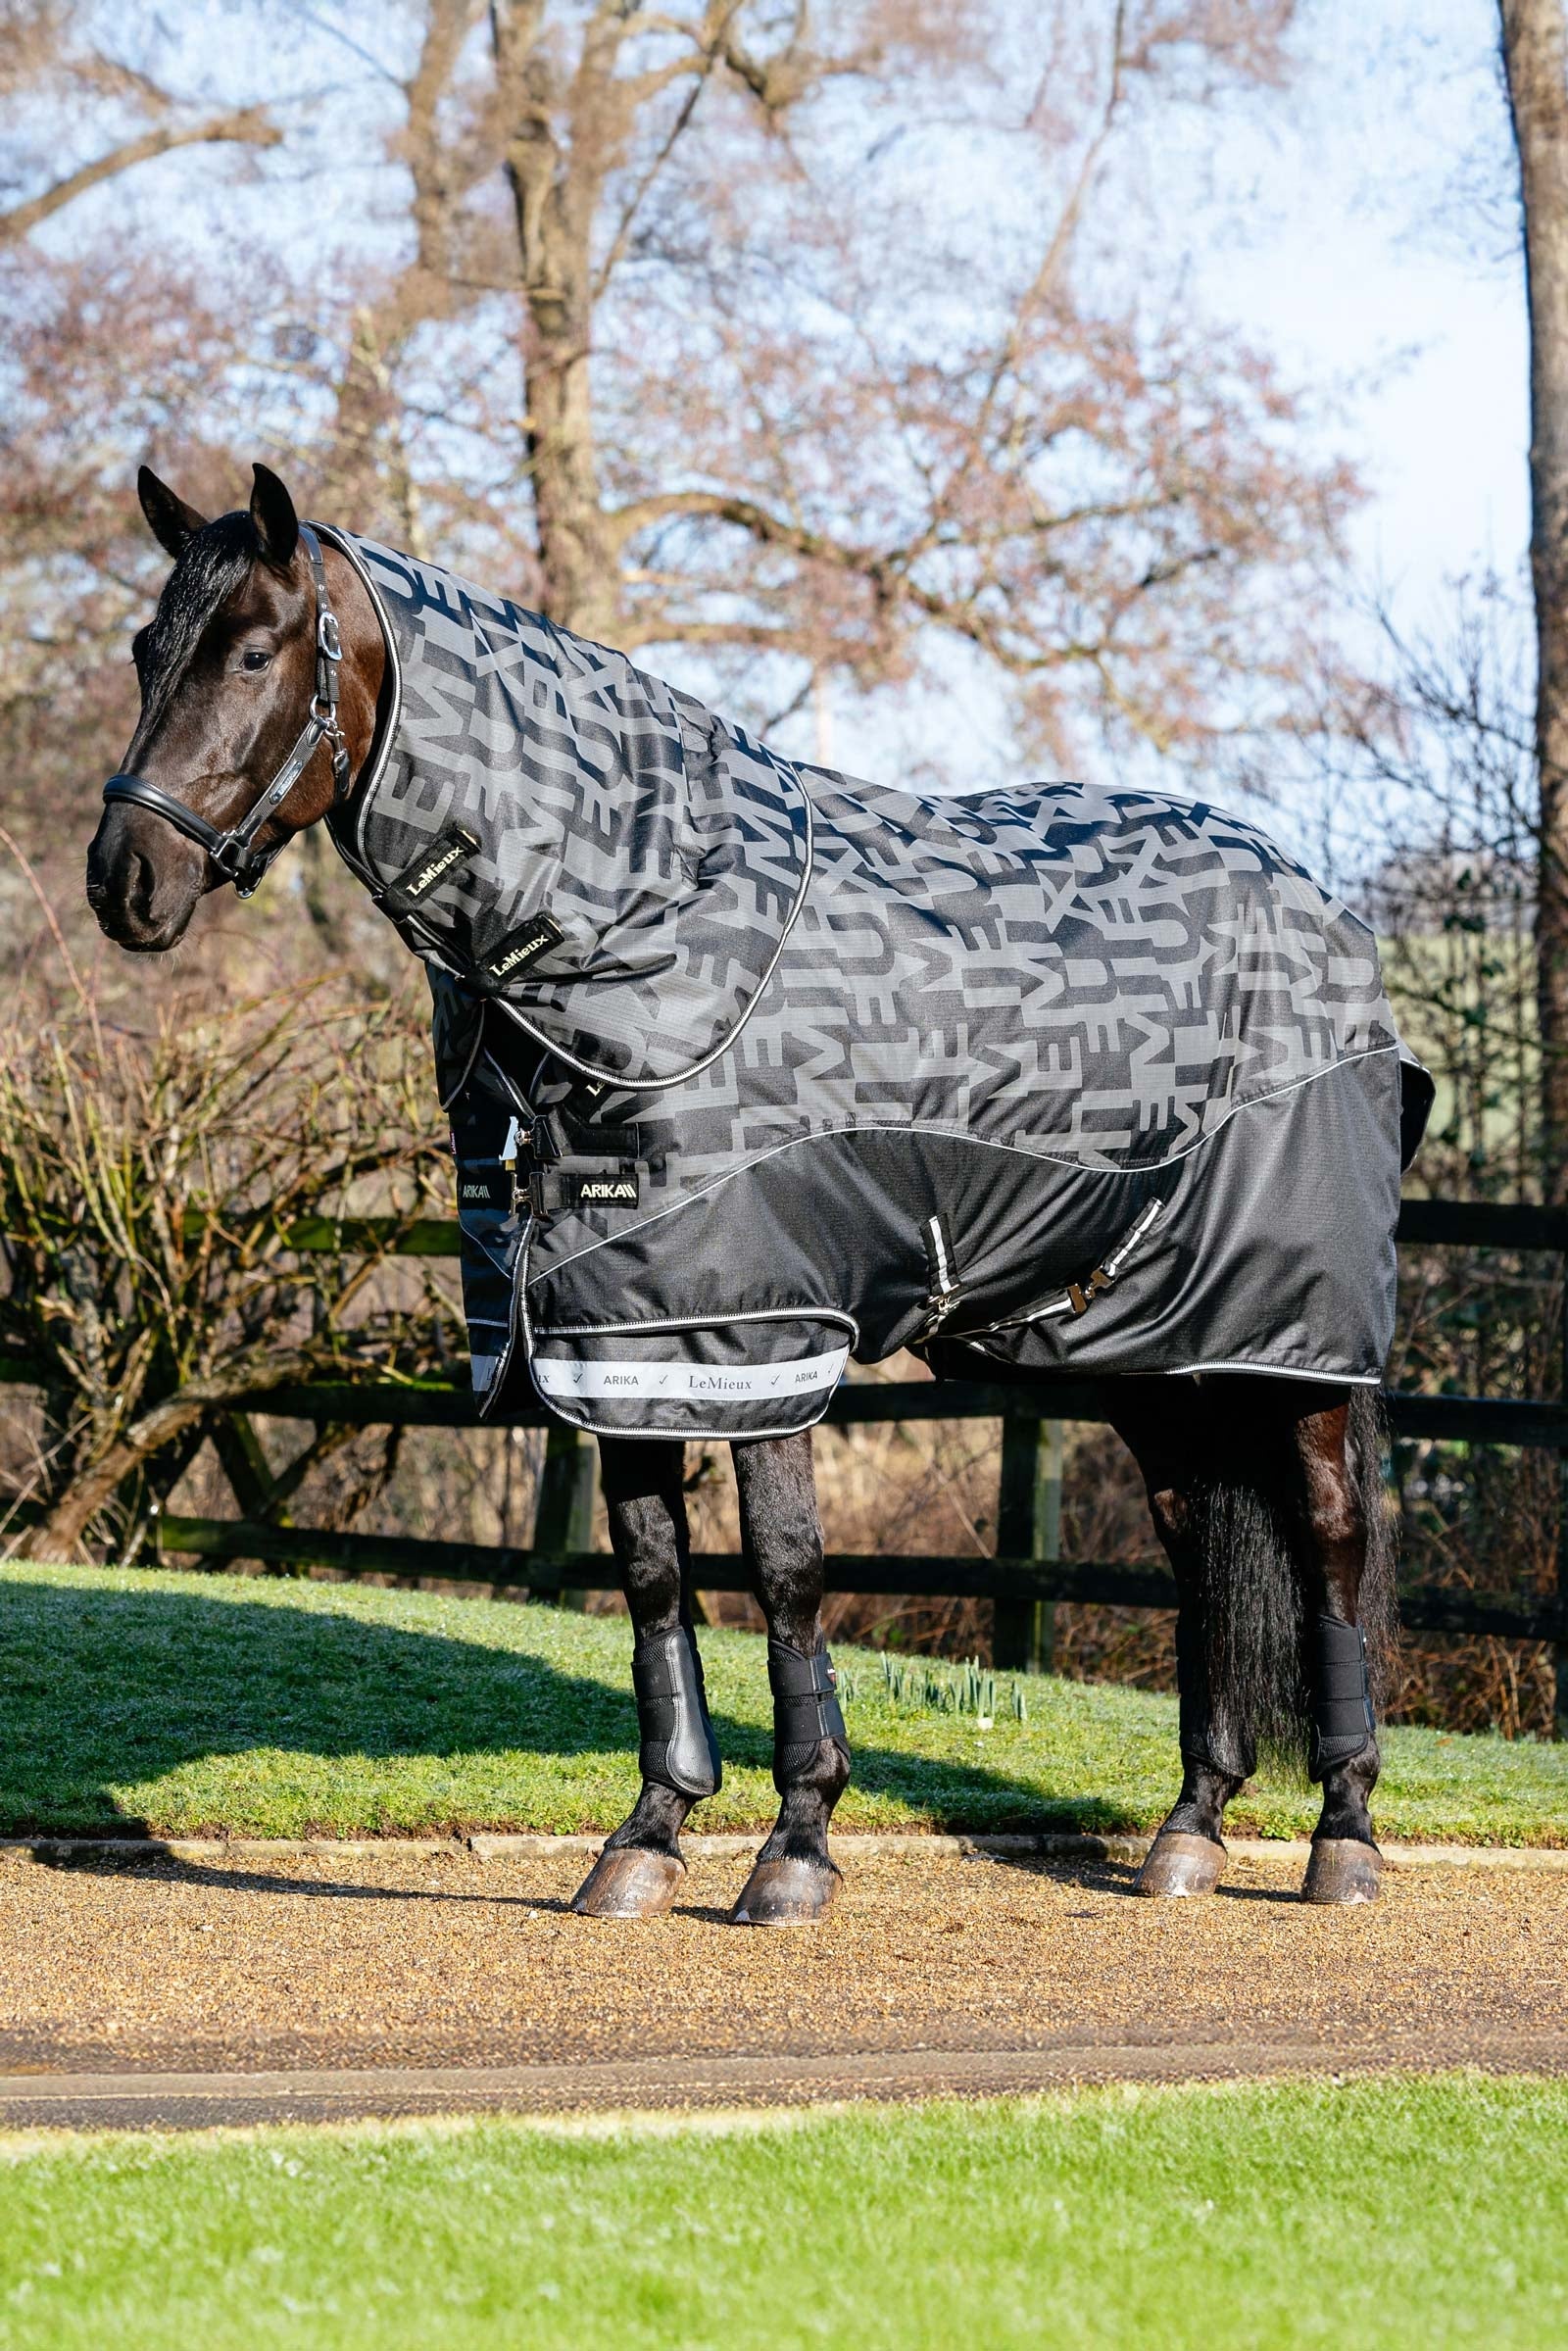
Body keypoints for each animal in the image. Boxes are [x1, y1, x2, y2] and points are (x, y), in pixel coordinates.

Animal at [87, 461, 1428, 1923]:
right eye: (149, 647)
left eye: (252, 653)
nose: (124, 879)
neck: (646, 923)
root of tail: (1324, 912)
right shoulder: (619, 1335)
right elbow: (652, 1577)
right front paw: (649, 1834)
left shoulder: (763, 1330)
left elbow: (784, 1572)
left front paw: (795, 1845)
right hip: (1154, 1347)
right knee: (1197, 1547)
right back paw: (1190, 1828)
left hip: (1293, 1346)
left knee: (1333, 1539)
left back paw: (1343, 1834)